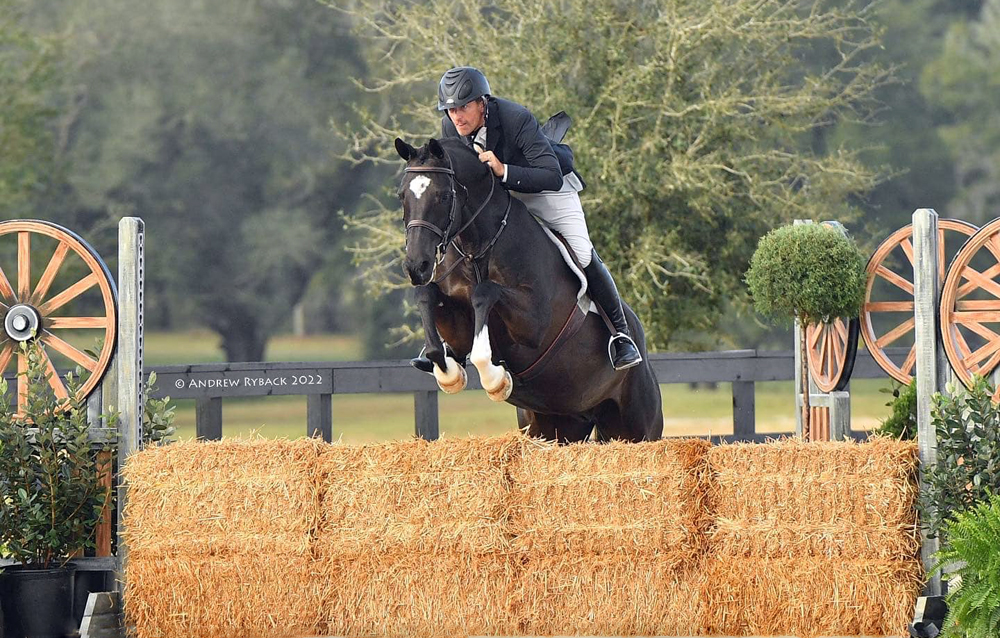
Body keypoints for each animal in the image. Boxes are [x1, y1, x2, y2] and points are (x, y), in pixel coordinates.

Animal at [394, 137, 660, 442]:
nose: (417, 266)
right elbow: (427, 296)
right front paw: (448, 373)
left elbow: (484, 293)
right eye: (402, 196)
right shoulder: (457, 324)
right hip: (555, 425)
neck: (478, 248)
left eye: (443, 196)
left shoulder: (535, 324)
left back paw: (625, 350)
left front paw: (495, 379)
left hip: (636, 427)